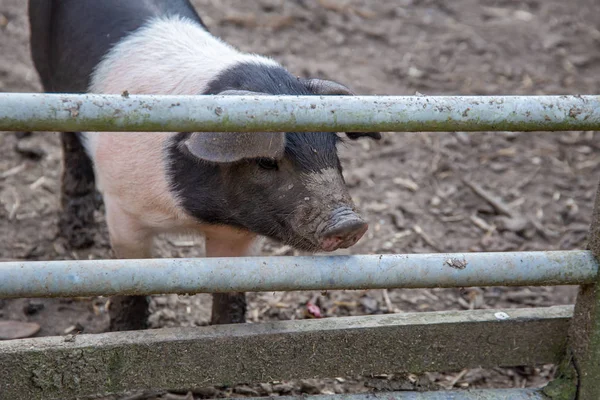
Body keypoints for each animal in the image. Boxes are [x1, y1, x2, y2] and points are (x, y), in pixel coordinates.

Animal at [29, 0, 380, 330]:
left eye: (333, 150)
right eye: (266, 162)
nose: (350, 223)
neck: (196, 215)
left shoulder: (237, 237)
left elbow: (229, 289)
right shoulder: (122, 207)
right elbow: (131, 276)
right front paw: (125, 331)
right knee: (70, 146)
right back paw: (76, 236)